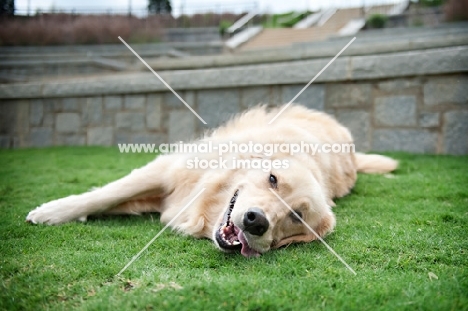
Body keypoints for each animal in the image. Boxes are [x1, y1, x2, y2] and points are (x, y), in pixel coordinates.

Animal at [26, 105, 398, 258]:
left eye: (296, 216)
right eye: (272, 179)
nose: (257, 221)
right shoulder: (169, 168)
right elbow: (107, 194)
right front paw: (53, 212)